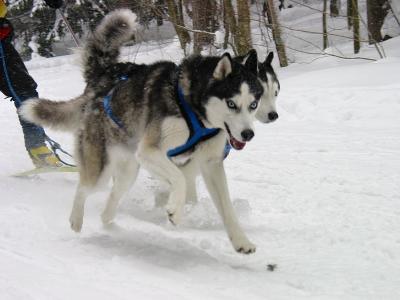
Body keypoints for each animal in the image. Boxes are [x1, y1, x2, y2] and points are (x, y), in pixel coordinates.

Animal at [21, 9, 266, 253]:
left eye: (253, 104)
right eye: (231, 104)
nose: (248, 134)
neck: (195, 109)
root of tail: (101, 76)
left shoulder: (210, 163)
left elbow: (226, 206)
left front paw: (241, 241)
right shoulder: (150, 151)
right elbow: (179, 179)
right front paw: (175, 210)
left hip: (129, 170)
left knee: (110, 202)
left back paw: (111, 225)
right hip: (102, 169)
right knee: (83, 188)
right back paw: (76, 220)